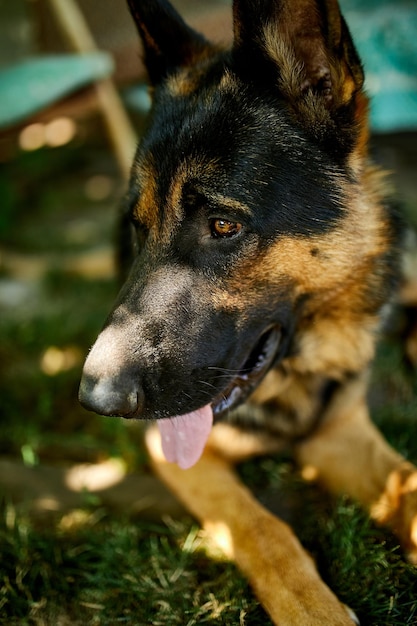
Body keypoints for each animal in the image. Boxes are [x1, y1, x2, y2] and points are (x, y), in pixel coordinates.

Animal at [79, 0, 416, 620]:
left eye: (223, 226)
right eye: (138, 228)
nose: (97, 399)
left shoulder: (341, 434)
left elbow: (408, 487)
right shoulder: (176, 454)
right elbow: (262, 529)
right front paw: (316, 611)